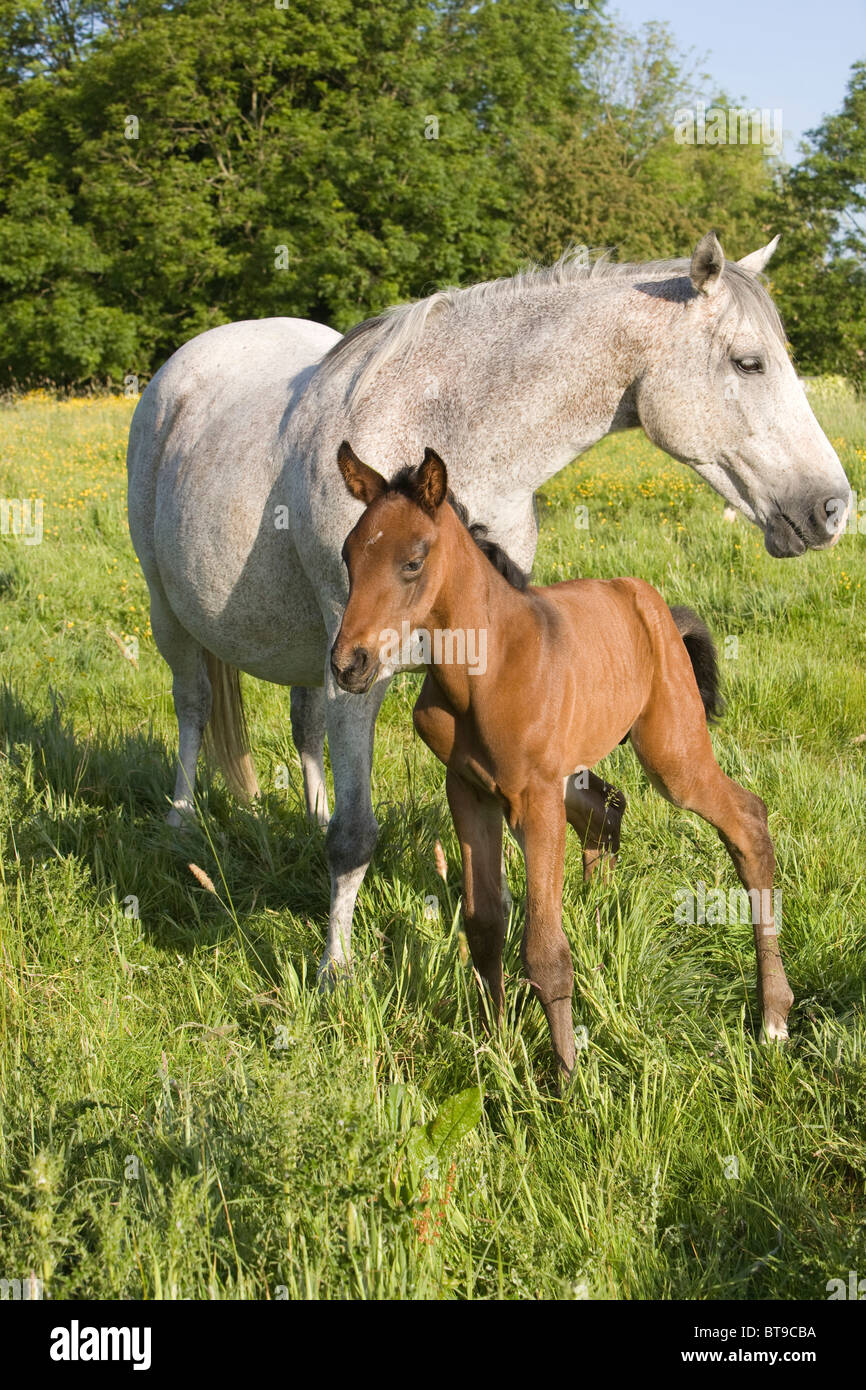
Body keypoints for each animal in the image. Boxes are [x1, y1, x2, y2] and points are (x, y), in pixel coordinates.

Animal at [128, 230, 856, 978]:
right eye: (749, 362)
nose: (833, 509)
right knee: (193, 704)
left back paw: (306, 817)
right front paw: (335, 971)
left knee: (304, 729)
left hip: (306, 651)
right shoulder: (359, 667)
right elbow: (356, 836)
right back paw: (181, 822)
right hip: (174, 615)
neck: (445, 432)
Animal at [333, 442, 800, 1073]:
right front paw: (494, 1048)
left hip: (671, 753)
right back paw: (606, 922)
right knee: (608, 809)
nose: (348, 665)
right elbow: (484, 924)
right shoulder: (468, 790)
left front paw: (565, 1080)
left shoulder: (534, 800)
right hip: (576, 773)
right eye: (348, 556)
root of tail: (652, 604)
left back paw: (773, 1014)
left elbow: (544, 950)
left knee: (746, 819)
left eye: (412, 562)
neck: (482, 672)